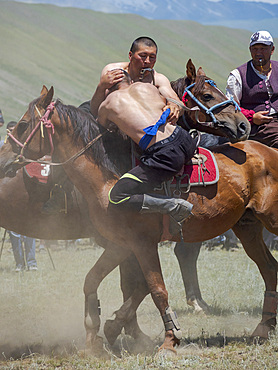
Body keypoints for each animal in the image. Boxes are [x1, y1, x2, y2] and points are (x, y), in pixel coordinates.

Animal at [1, 66, 276, 352]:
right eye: (207, 95)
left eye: (23, 125)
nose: (243, 124)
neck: (109, 171)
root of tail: (268, 152)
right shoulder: (122, 244)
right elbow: (112, 283)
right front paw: (103, 333)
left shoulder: (135, 244)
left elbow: (146, 288)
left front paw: (152, 337)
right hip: (247, 228)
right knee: (268, 268)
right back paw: (261, 326)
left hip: (263, 222)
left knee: (266, 268)